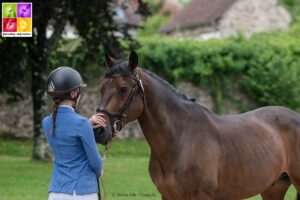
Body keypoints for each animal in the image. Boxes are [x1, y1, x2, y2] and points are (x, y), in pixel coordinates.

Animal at [95, 51, 300, 200]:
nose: (98, 130)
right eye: (101, 88)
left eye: (123, 89)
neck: (180, 139)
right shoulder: (168, 196)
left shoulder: (201, 195)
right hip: (273, 188)